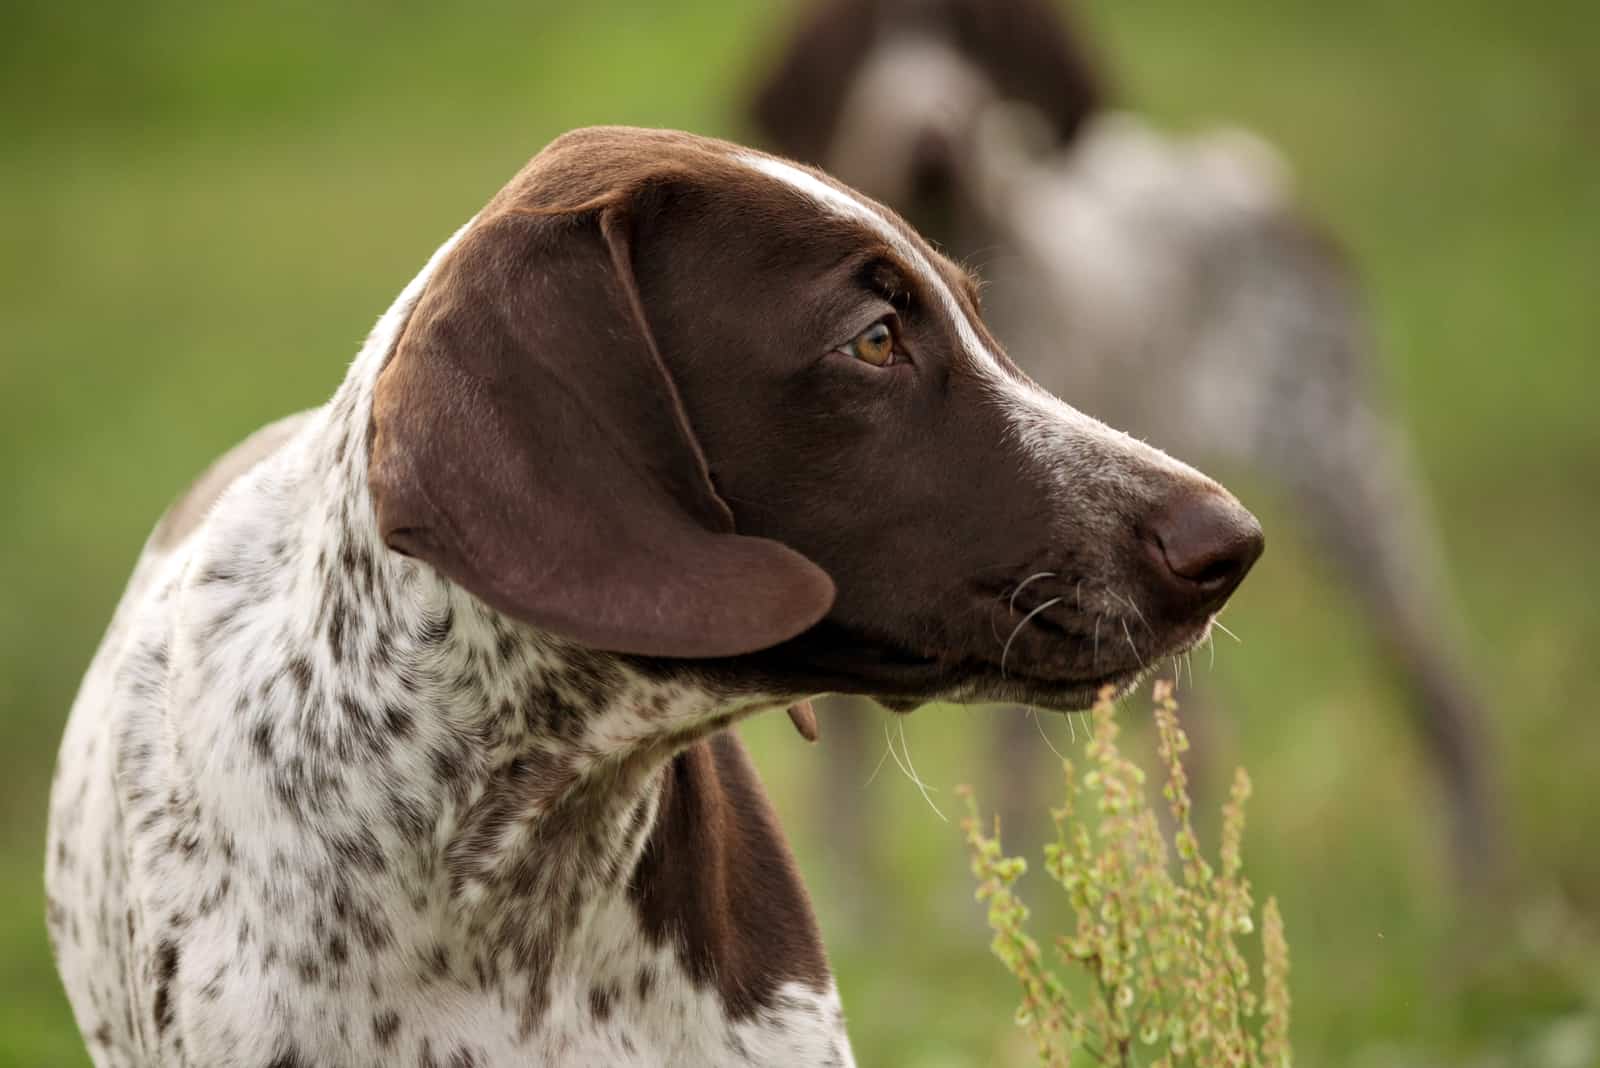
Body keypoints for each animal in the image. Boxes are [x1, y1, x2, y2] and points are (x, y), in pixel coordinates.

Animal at [748, 0, 1497, 888]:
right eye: (861, 41)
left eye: (981, 39)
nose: (931, 137)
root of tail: (1239, 168)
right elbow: (847, 808)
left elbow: (1001, 800)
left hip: (1351, 487)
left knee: (1447, 708)